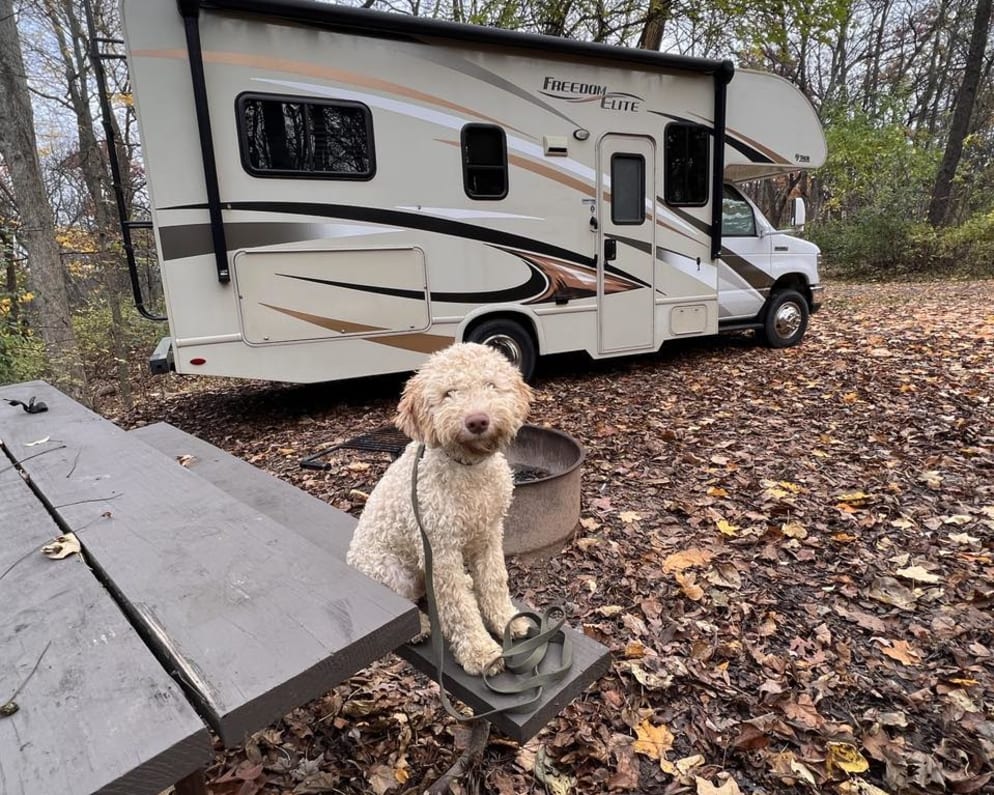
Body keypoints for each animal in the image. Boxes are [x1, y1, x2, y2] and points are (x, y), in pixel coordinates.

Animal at [348, 346, 536, 676]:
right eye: (449, 393)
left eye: (490, 385)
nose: (477, 421)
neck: (469, 470)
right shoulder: (439, 549)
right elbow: (457, 605)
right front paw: (480, 651)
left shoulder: (489, 535)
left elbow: (494, 581)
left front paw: (506, 622)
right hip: (389, 570)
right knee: (409, 601)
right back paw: (421, 626)